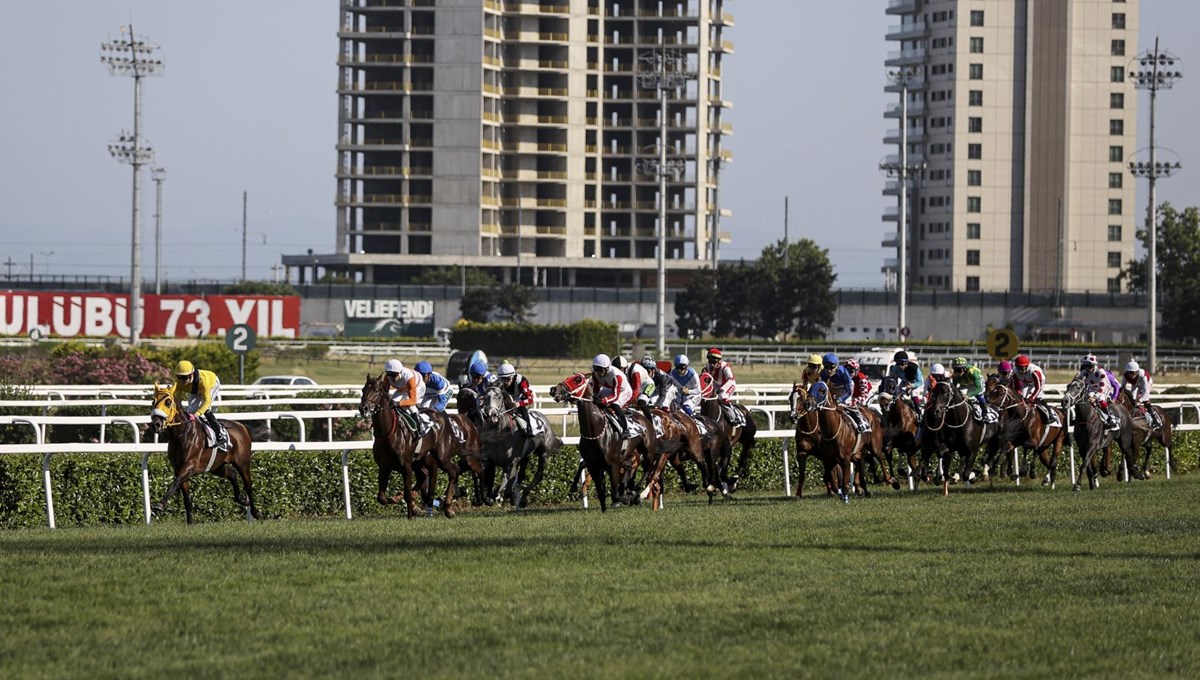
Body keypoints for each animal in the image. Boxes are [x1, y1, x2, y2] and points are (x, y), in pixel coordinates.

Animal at [147, 386, 258, 525]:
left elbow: (174, 484)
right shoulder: (179, 469)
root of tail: (241, 426)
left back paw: (255, 511)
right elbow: (186, 499)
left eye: (168, 402)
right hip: (216, 466)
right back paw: (242, 499)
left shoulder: (190, 466)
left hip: (242, 463)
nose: (155, 424)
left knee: (248, 486)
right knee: (232, 473)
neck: (181, 435)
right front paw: (190, 523)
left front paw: (160, 504)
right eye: (153, 402)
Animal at [355, 374, 453, 518]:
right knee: (424, 476)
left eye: (376, 391)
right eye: (363, 390)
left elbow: (407, 494)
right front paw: (396, 499)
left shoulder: (406, 465)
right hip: (419, 462)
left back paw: (445, 507)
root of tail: (439, 414)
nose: (364, 408)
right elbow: (381, 498)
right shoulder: (384, 467)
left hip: (439, 458)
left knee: (448, 472)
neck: (388, 433)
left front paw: (410, 516)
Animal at [552, 374, 657, 513]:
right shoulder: (594, 466)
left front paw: (628, 497)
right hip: (629, 454)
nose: (554, 389)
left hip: (648, 452)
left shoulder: (613, 465)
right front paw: (604, 510)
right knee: (630, 466)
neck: (594, 432)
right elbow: (601, 491)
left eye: (577, 380)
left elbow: (615, 494)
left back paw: (639, 492)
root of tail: (644, 418)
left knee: (648, 469)